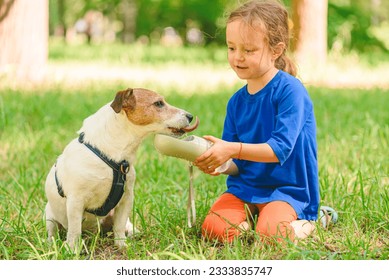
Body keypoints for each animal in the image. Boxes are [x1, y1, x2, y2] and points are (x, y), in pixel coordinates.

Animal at [44, 88, 199, 249]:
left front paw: (121, 246)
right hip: (49, 215)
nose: (190, 116)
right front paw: (72, 249)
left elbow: (119, 225)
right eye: (158, 103)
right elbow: (74, 231)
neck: (112, 156)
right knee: (53, 231)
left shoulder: (126, 198)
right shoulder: (76, 201)